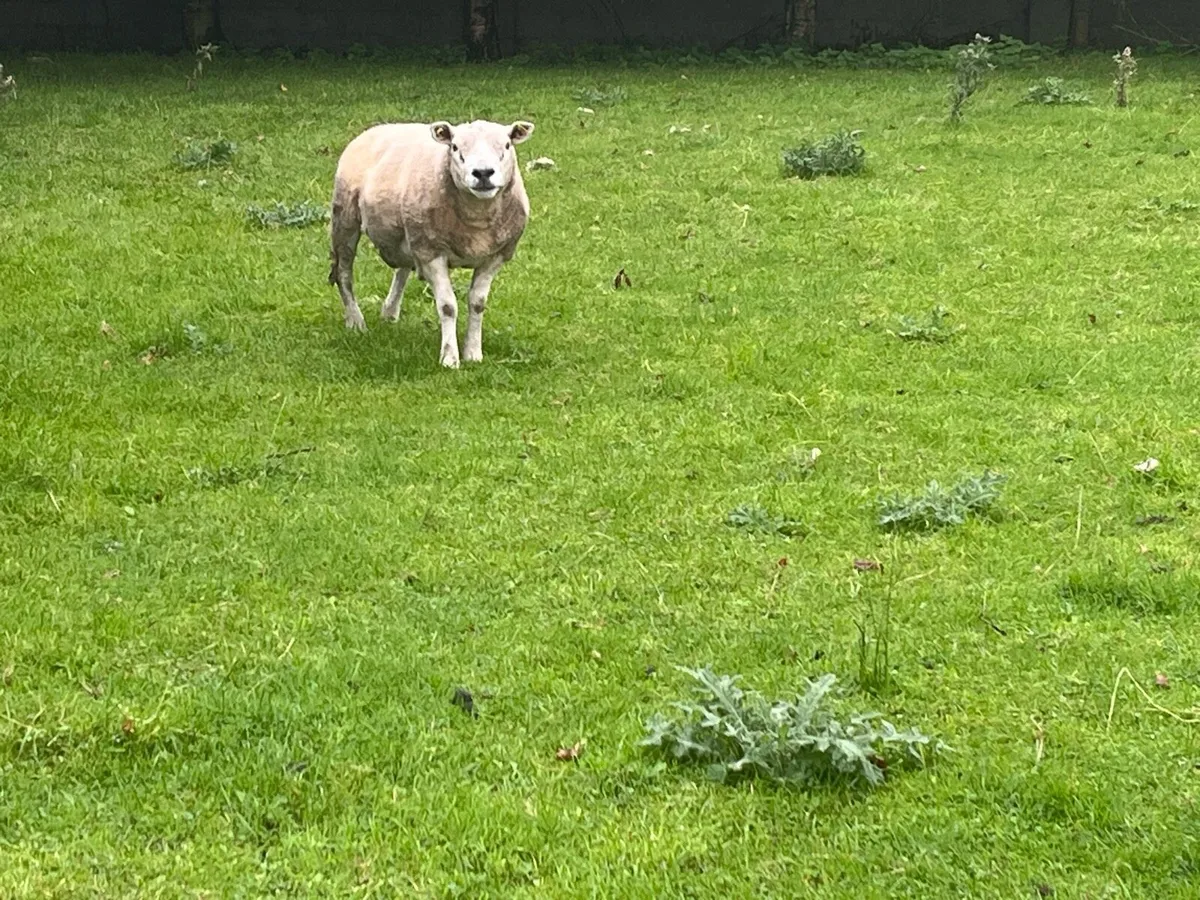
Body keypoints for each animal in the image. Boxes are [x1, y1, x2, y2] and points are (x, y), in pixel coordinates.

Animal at [328, 118, 535, 368]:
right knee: (344, 273)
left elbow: (477, 303)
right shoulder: (432, 252)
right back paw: (356, 321)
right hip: (345, 218)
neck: (477, 219)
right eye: (455, 147)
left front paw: (473, 353)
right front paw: (450, 358)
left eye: (506, 145)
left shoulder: (496, 256)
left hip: (408, 235)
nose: (483, 173)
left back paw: (390, 312)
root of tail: (380, 127)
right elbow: (447, 306)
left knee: (402, 269)